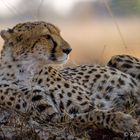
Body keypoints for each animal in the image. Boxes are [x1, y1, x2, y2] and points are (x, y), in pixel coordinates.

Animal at [0, 21, 139, 139]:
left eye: (59, 33)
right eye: (46, 36)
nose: (69, 50)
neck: (24, 71)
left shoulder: (87, 105)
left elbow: (94, 112)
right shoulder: (53, 117)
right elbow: (89, 115)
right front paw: (122, 121)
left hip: (117, 58)